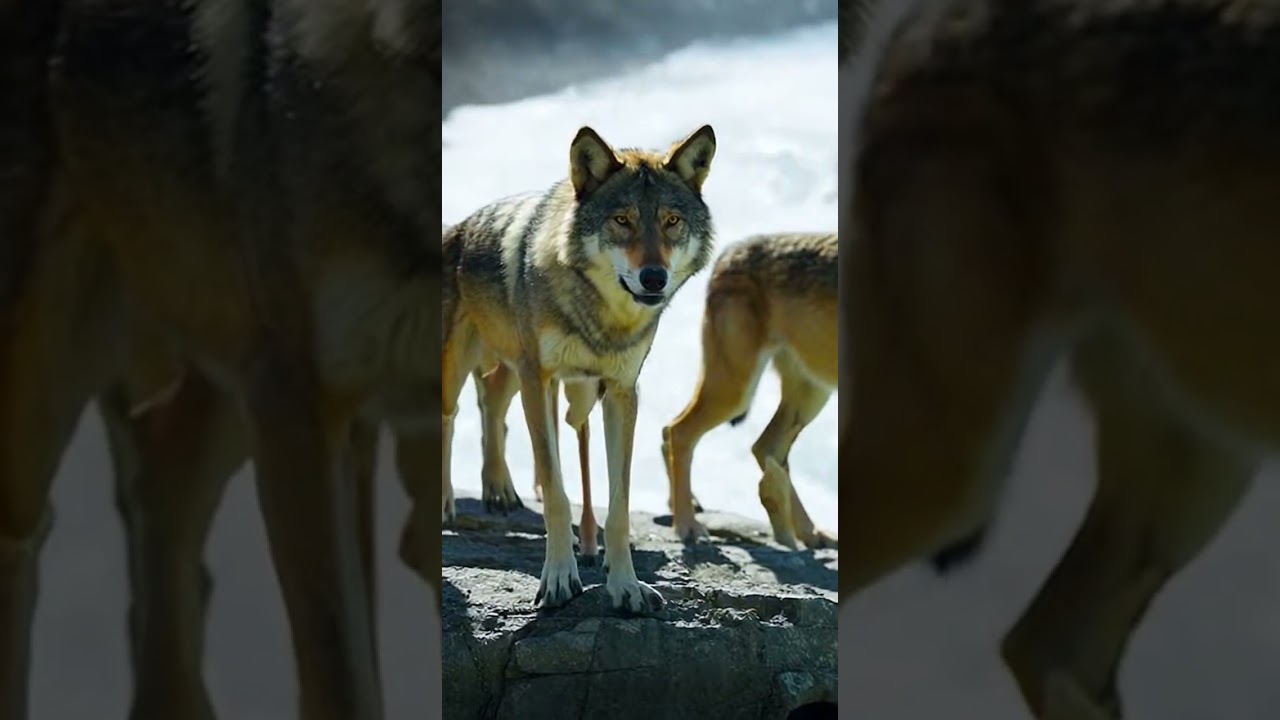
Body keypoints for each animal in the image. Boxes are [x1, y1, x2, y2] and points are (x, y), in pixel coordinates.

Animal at [0, 0, 440, 718]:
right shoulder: (303, 413)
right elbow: (341, 679)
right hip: (42, 407)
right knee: (26, 544)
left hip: (230, 379)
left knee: (163, 482)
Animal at [443, 124, 717, 611]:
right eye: (622, 220)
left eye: (671, 221)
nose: (653, 278)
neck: (602, 318)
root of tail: (461, 226)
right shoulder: (539, 379)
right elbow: (555, 491)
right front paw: (558, 579)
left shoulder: (620, 390)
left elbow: (619, 505)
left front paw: (625, 585)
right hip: (470, 370)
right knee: (449, 416)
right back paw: (446, 506)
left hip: (533, 378)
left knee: (493, 401)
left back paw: (499, 490)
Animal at [661, 232, 838, 550]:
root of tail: (728, 252)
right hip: (736, 392)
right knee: (677, 431)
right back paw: (687, 526)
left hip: (810, 397)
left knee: (765, 449)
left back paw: (810, 534)